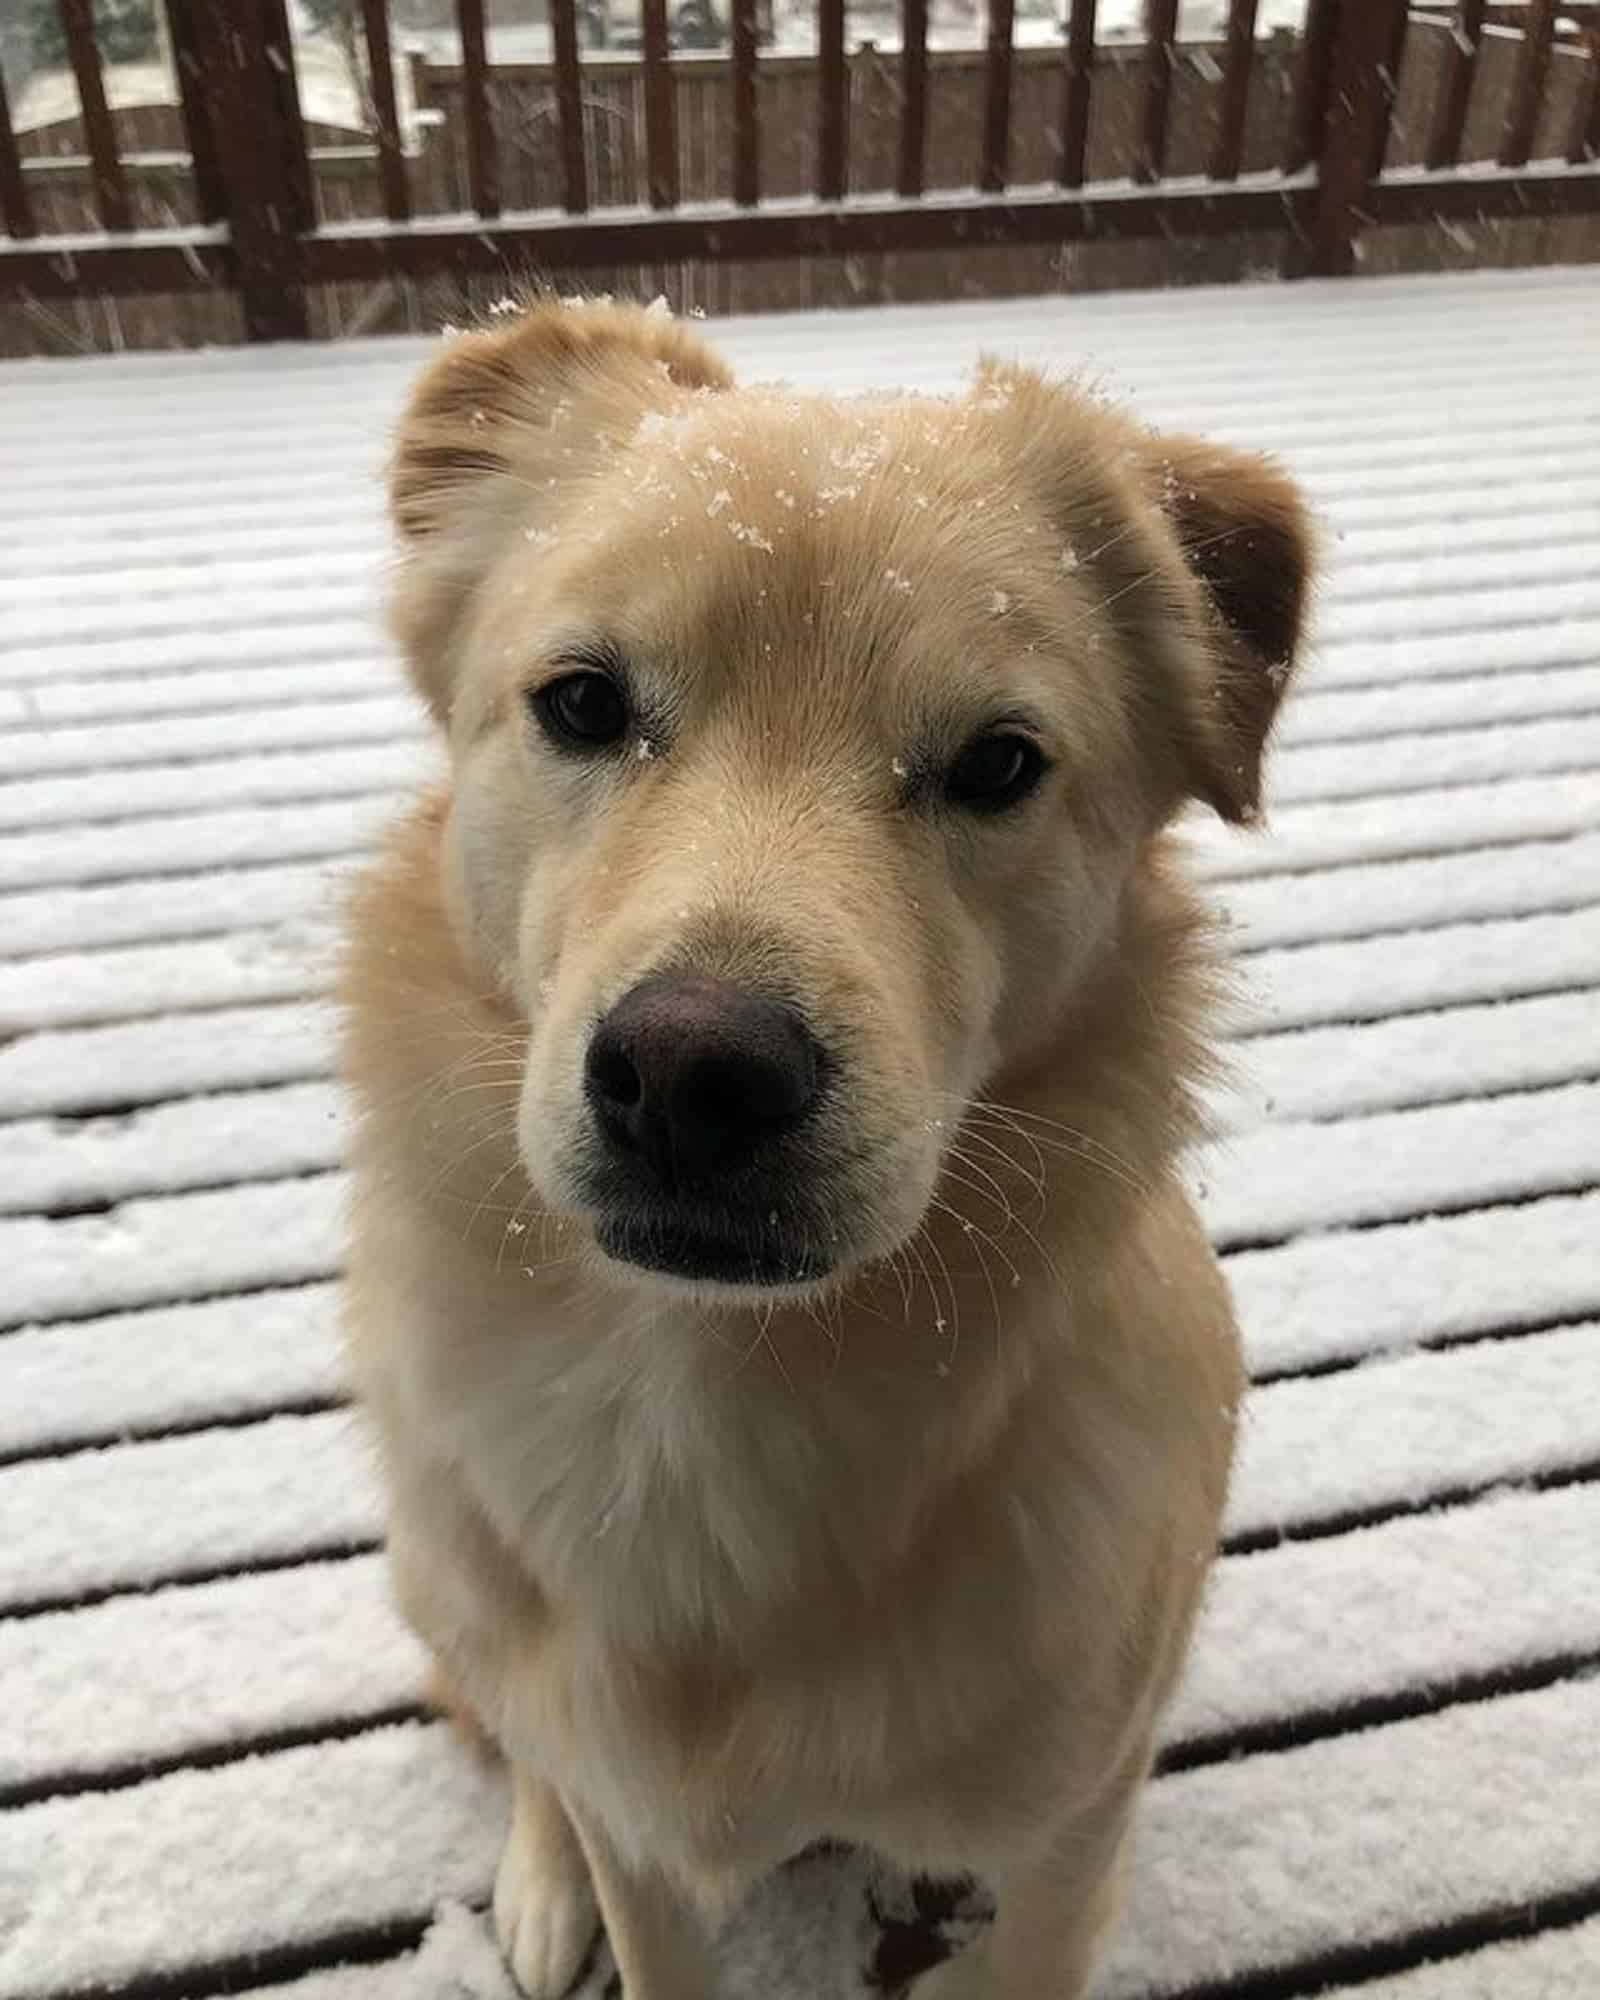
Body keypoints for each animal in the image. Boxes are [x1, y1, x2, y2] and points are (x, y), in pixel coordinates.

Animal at [340, 300, 1312, 2000]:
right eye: (583, 702)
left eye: (996, 763)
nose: (693, 1076)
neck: (704, 1412)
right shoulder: (641, 1825)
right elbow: (609, 1841)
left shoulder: (1070, 1833)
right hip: (440, 1567)